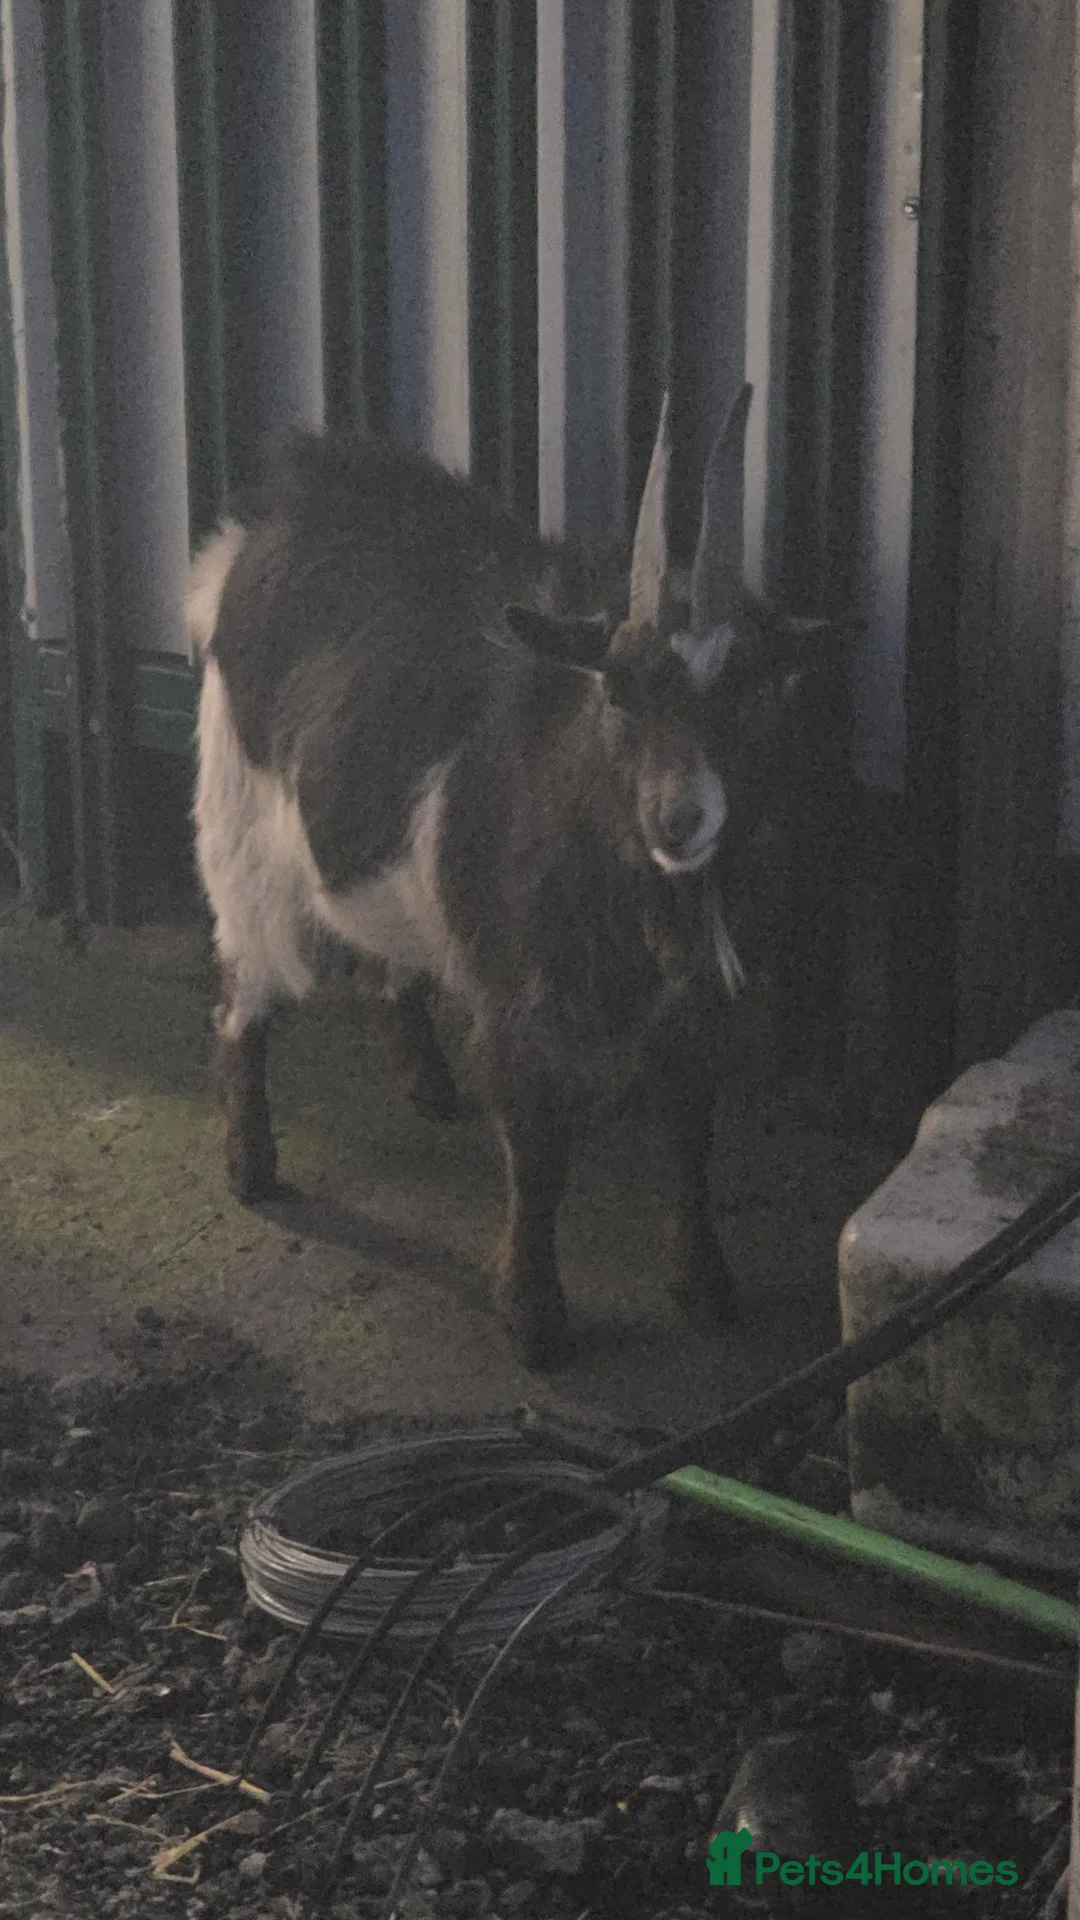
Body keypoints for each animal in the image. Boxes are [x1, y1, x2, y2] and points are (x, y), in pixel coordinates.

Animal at [190, 386, 825, 1369]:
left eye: (749, 690)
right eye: (617, 692)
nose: (679, 820)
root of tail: (263, 522)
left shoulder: (690, 1009)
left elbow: (689, 1134)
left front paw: (706, 1287)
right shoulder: (525, 1001)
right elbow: (538, 1152)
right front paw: (533, 1317)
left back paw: (427, 1084)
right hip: (240, 829)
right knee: (243, 994)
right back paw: (251, 1165)